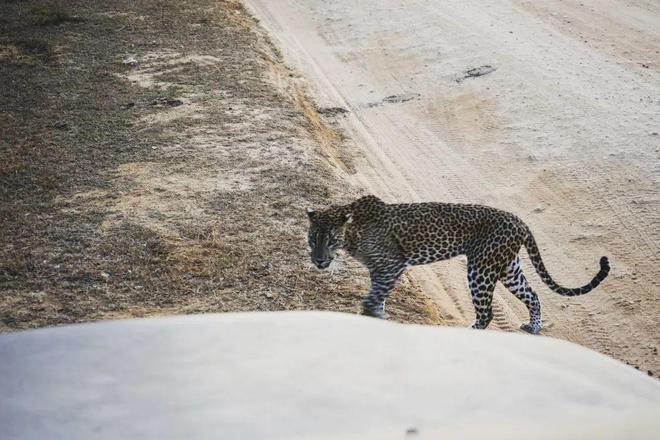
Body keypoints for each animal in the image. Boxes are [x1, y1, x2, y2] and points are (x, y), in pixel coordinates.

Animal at [306, 195, 612, 334]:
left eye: (330, 240)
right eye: (312, 239)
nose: (319, 259)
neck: (352, 232)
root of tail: (519, 221)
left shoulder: (392, 266)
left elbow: (372, 299)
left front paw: (372, 317)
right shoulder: (380, 271)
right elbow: (377, 298)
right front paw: (378, 318)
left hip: (481, 269)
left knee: (487, 313)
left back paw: (469, 333)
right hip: (507, 267)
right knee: (533, 295)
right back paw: (533, 327)